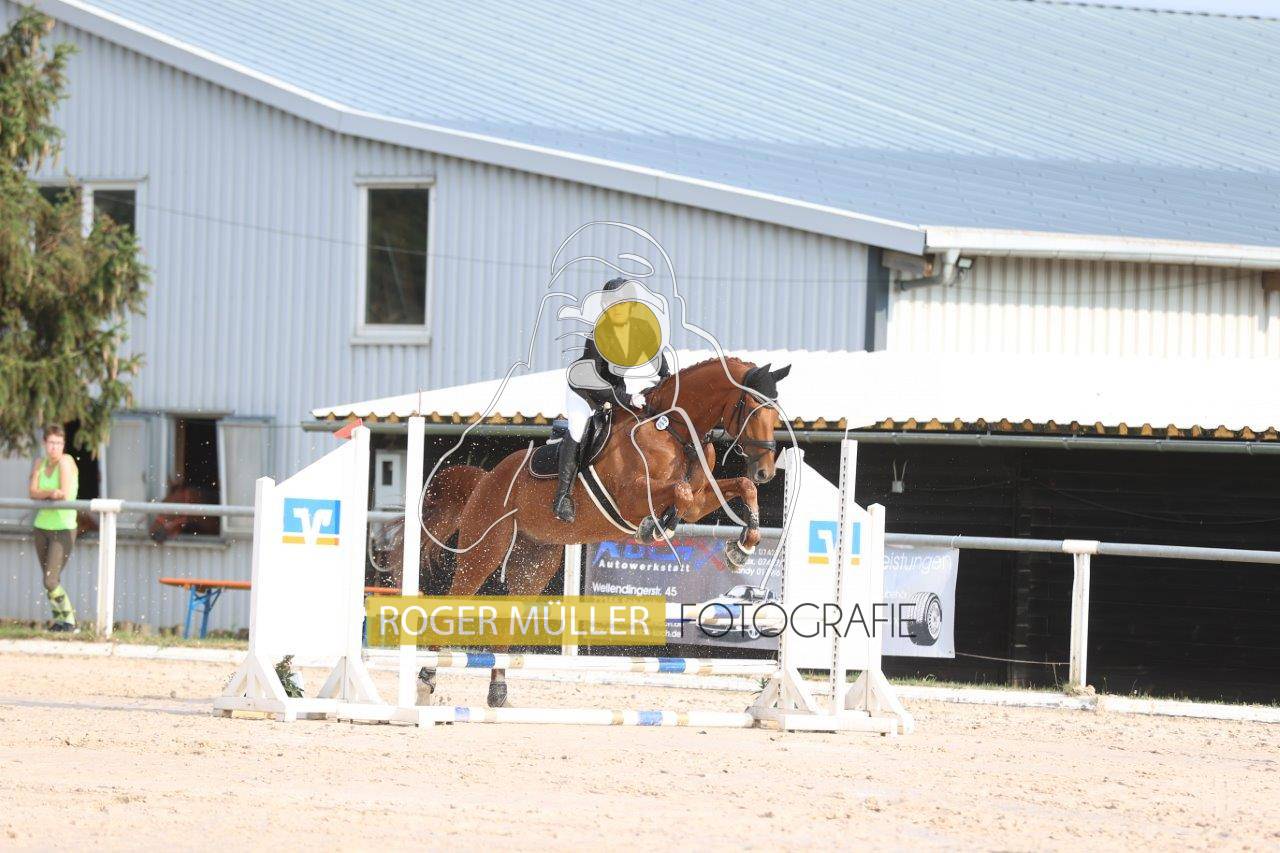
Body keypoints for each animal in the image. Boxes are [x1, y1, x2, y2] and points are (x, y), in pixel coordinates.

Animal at [419, 356, 790, 706]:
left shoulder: (700, 502)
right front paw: (654, 527)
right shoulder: (630, 496)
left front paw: (740, 549)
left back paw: (498, 693)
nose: (766, 471)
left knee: (511, 616)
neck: (677, 432)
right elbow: (680, 492)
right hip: (484, 550)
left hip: (534, 563)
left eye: (775, 414)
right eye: (752, 409)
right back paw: (426, 682)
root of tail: (486, 479)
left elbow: (736, 488)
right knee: (452, 603)